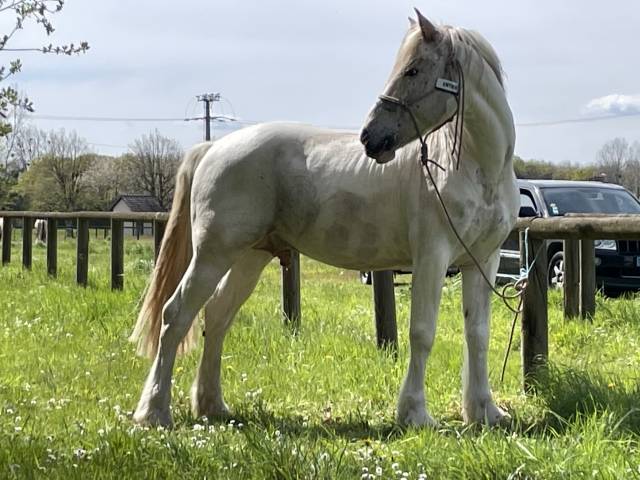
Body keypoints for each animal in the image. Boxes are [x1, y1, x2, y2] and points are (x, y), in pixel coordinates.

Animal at [131, 10, 520, 428]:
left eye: (413, 70)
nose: (369, 137)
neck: (479, 171)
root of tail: (213, 147)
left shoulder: (482, 260)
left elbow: (478, 333)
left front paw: (485, 411)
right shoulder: (433, 257)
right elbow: (422, 331)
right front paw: (415, 413)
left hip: (250, 255)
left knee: (217, 315)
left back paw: (211, 405)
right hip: (213, 253)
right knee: (177, 314)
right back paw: (154, 411)